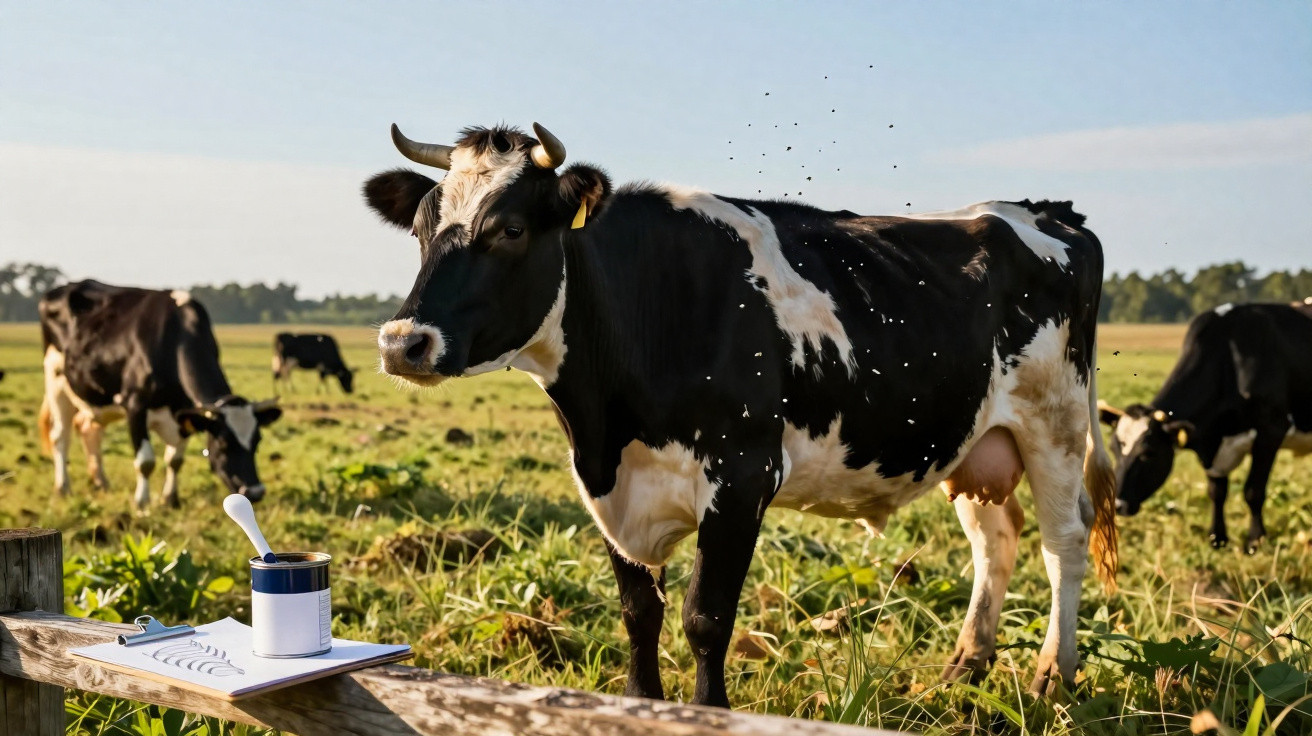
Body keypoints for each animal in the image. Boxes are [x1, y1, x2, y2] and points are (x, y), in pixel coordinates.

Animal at [38, 280, 282, 510]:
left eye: (257, 440)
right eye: (223, 443)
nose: (255, 491)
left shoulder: (183, 412)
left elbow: (175, 460)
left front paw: (170, 499)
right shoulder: (135, 405)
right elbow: (145, 461)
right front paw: (141, 503)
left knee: (89, 429)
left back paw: (101, 482)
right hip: (55, 380)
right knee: (60, 437)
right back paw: (63, 488)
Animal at [363, 122, 1117, 705]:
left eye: (511, 229)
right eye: (422, 229)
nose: (403, 343)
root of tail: (1042, 211)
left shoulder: (741, 476)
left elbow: (705, 617)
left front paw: (709, 709)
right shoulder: (607, 485)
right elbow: (639, 613)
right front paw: (641, 704)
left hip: (1054, 421)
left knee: (1063, 541)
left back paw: (1053, 677)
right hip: (975, 437)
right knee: (996, 540)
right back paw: (964, 669)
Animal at [1099, 299, 1312, 553]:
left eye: (1148, 453)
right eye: (1114, 449)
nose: (1117, 505)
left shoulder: (1271, 430)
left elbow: (1253, 491)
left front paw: (1254, 541)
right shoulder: (1211, 444)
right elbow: (1216, 492)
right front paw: (1217, 538)